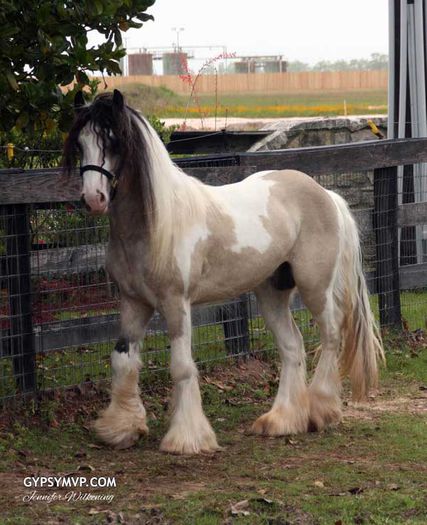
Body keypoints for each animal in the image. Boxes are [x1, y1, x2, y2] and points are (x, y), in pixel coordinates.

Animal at [62, 90, 384, 454]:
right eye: (80, 143)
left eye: (113, 140)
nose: (94, 198)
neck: (154, 226)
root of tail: (326, 194)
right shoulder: (133, 303)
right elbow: (122, 360)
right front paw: (121, 428)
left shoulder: (176, 304)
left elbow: (181, 367)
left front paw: (186, 438)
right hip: (271, 292)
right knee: (292, 347)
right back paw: (281, 420)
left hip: (315, 287)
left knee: (330, 336)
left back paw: (320, 411)